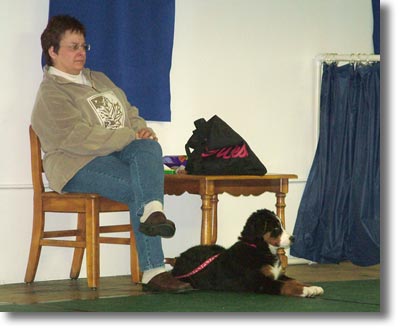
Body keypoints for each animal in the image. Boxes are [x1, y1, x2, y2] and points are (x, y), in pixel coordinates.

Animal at [170, 209, 324, 296]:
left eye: (282, 226)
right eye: (275, 228)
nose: (293, 238)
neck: (260, 249)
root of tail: (180, 256)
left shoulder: (279, 274)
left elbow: (295, 280)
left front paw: (312, 287)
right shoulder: (259, 282)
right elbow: (285, 285)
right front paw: (305, 291)